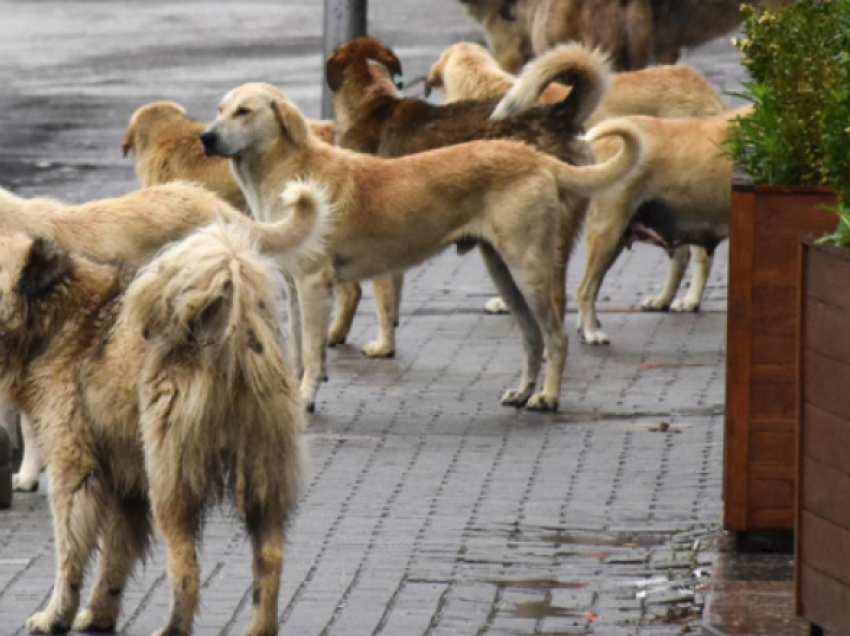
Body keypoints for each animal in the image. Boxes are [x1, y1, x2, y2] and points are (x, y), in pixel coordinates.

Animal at [1, 179, 328, 636]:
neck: (59, 318)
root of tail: (228, 334)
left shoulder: (74, 473)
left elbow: (71, 557)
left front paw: (56, 616)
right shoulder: (125, 483)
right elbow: (114, 559)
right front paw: (99, 614)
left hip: (170, 481)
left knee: (186, 566)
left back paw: (173, 626)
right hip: (262, 475)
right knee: (270, 557)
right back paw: (258, 627)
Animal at [200, 80, 644, 412]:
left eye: (244, 111)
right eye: (220, 109)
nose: (206, 136)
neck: (288, 170)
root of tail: (536, 159)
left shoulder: (314, 284)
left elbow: (311, 351)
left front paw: (308, 396)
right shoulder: (294, 287)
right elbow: (296, 349)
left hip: (529, 269)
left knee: (556, 336)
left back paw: (547, 398)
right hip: (503, 272)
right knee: (533, 338)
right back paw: (522, 392)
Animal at [320, 36, 608, 358]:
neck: (374, 103)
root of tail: (558, 113)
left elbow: (368, 296)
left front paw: (375, 344)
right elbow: (392, 295)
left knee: (555, 299)